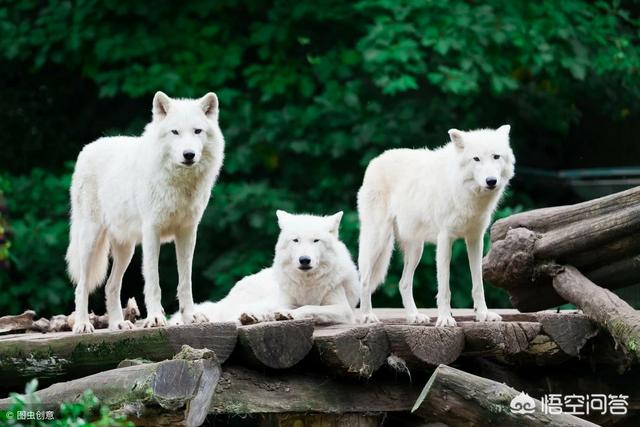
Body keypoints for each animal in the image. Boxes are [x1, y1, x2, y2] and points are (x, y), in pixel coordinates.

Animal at [67, 91, 225, 334]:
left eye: (197, 131)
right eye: (175, 132)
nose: (188, 154)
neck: (179, 184)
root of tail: (87, 148)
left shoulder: (188, 232)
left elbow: (185, 281)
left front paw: (190, 316)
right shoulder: (152, 232)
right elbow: (153, 281)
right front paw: (155, 318)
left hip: (126, 249)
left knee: (111, 286)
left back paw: (118, 324)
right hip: (89, 242)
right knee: (81, 286)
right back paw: (83, 325)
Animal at [172, 211, 362, 324]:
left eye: (316, 240)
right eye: (296, 240)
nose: (304, 260)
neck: (307, 284)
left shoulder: (343, 310)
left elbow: (309, 308)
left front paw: (290, 314)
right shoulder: (284, 301)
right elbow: (291, 307)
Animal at [358, 125, 516, 326]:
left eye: (496, 156)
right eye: (476, 158)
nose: (491, 181)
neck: (465, 193)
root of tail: (376, 160)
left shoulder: (475, 239)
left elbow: (478, 285)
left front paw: (483, 315)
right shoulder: (445, 239)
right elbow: (444, 288)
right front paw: (445, 319)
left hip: (416, 249)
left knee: (403, 283)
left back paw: (414, 316)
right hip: (378, 240)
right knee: (364, 280)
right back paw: (367, 316)